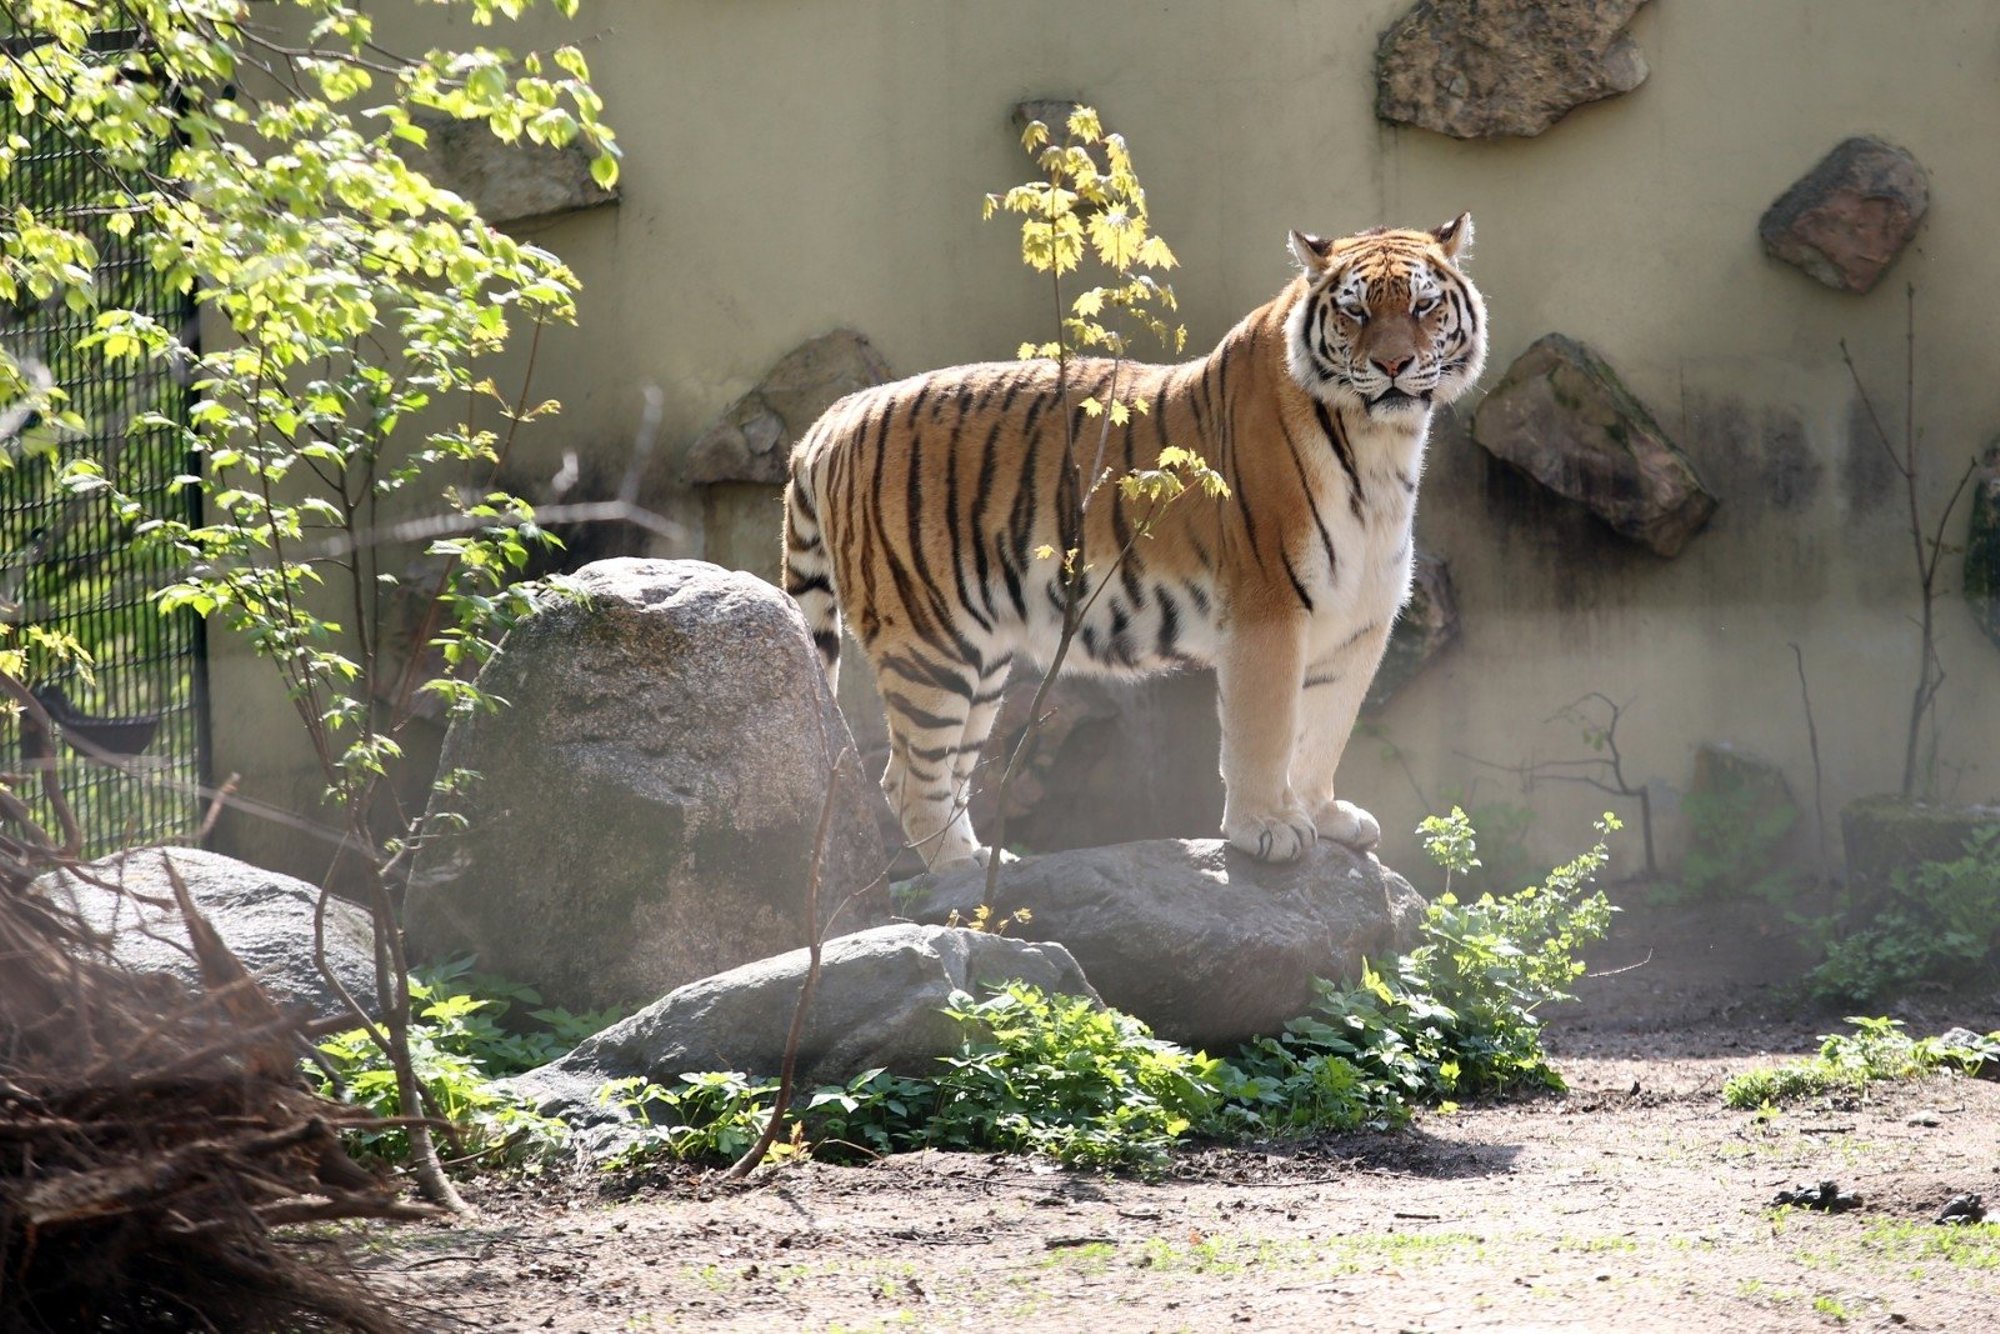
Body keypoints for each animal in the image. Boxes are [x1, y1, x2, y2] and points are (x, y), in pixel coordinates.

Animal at [780, 214, 1488, 872]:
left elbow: (1323, 730)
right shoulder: (1268, 606)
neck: (1382, 445)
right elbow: (1265, 730)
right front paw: (1267, 830)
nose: (1393, 365)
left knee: (945, 770)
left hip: (980, 653)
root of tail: (833, 415)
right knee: (909, 778)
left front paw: (1325, 815)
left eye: (1422, 306)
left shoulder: (1360, 619)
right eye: (1355, 311)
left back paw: (982, 864)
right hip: (929, 641)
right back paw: (962, 872)